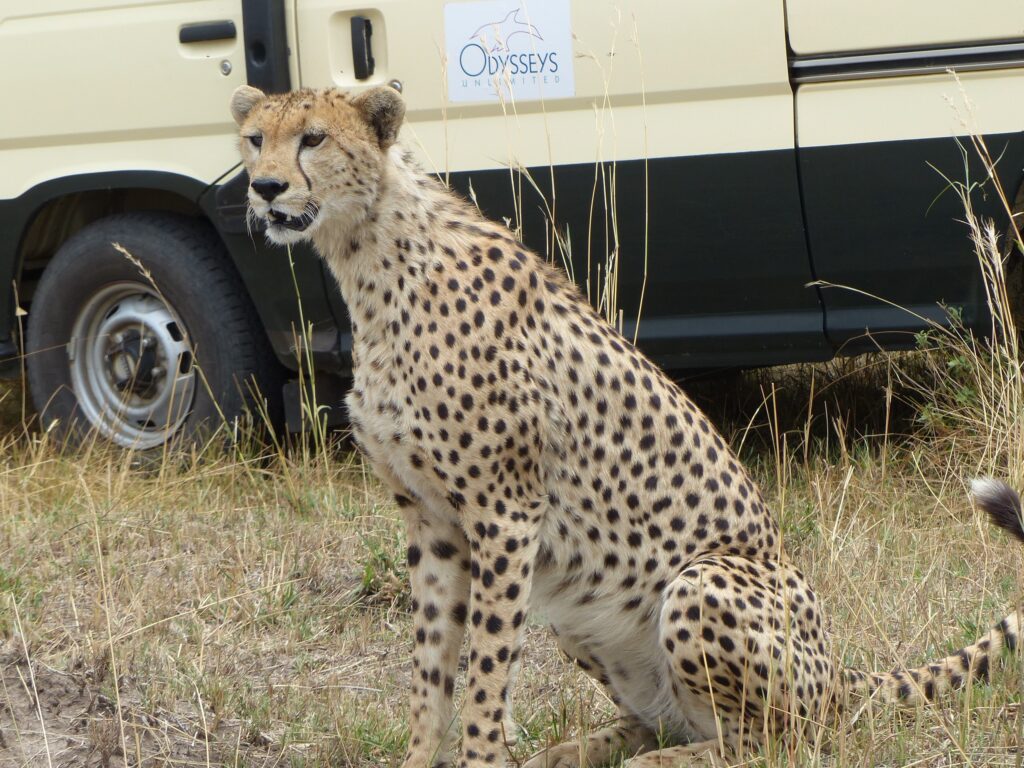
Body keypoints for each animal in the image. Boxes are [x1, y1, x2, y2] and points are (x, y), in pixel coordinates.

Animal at [232, 85, 1024, 768]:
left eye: (313, 139)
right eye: (255, 140)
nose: (264, 189)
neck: (369, 251)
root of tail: (839, 674)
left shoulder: (505, 511)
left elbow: (485, 665)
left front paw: (482, 756)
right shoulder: (430, 518)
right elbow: (432, 664)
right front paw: (422, 757)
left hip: (701, 584)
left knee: (770, 742)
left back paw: (665, 762)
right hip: (578, 605)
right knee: (661, 717)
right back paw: (580, 750)